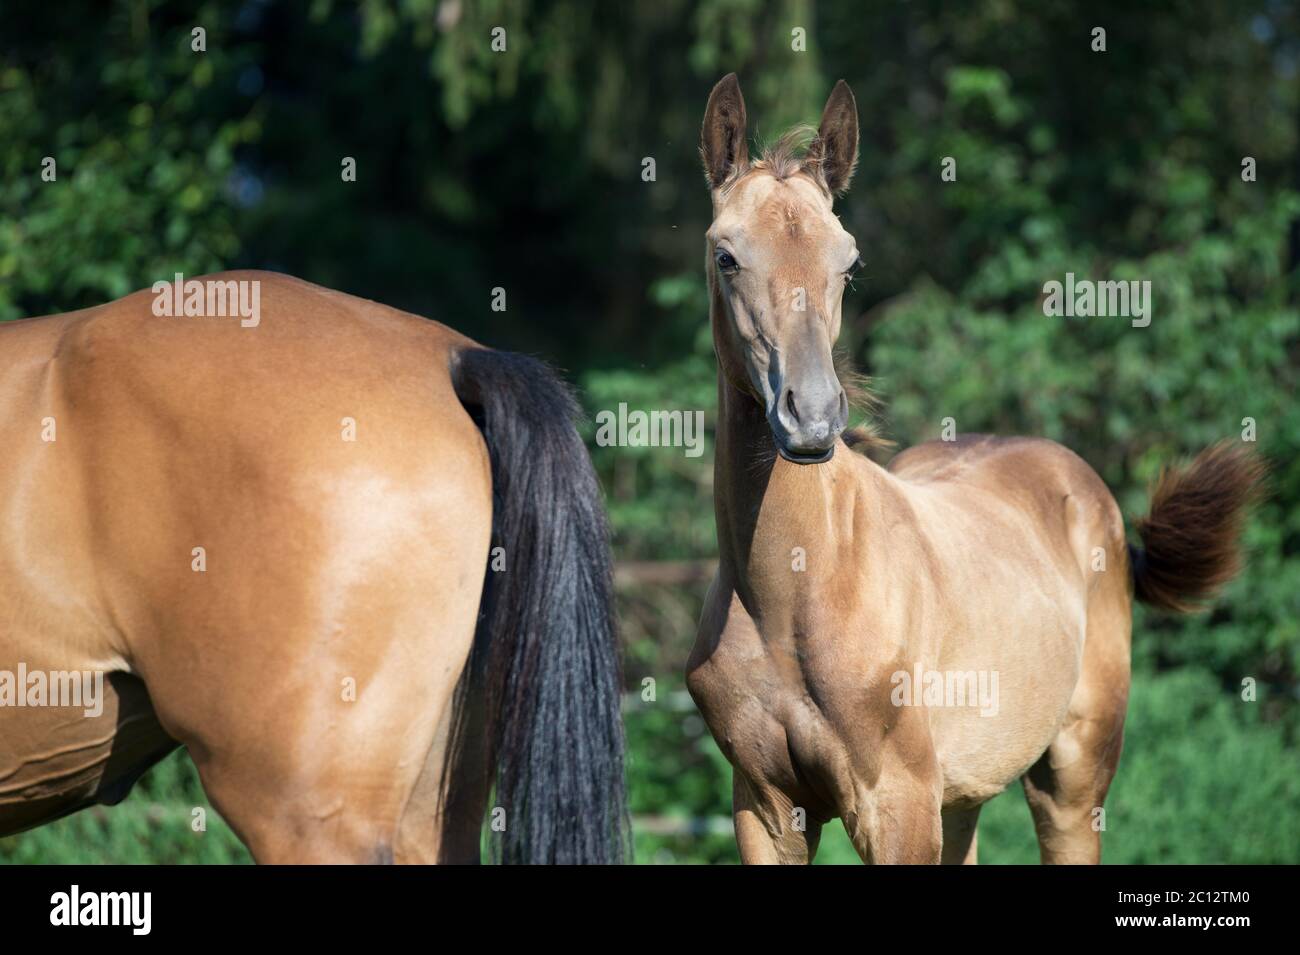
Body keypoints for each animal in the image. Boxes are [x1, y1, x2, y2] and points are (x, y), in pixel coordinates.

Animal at [686, 74, 1263, 867]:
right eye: (726, 257)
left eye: (849, 263)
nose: (811, 417)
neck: (798, 590)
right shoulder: (765, 810)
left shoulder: (897, 807)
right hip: (962, 798)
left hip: (1071, 782)